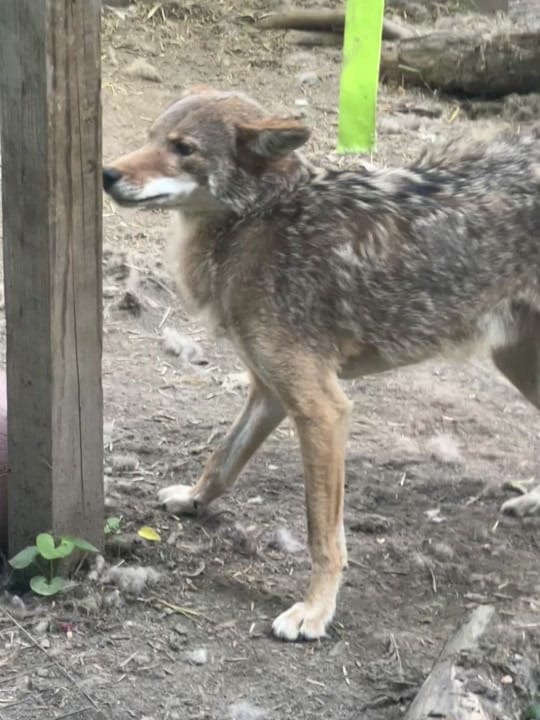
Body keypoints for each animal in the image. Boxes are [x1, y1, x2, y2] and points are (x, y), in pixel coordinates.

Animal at [103, 86, 540, 641]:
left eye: (183, 148)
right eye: (151, 139)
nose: (106, 173)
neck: (256, 223)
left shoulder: (321, 407)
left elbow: (321, 534)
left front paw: (314, 611)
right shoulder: (269, 392)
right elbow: (221, 460)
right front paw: (193, 500)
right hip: (516, 360)